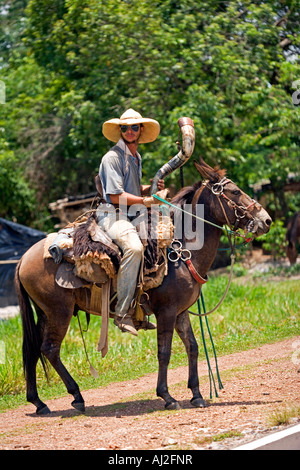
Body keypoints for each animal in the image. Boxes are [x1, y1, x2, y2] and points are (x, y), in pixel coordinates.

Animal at [14, 160, 272, 414]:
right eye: (235, 191)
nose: (267, 220)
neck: (179, 249)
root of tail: (23, 258)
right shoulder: (166, 312)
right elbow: (164, 352)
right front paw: (167, 396)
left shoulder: (180, 312)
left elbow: (193, 346)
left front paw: (197, 394)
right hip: (59, 312)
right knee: (50, 349)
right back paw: (76, 396)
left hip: (44, 313)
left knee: (34, 350)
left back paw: (39, 402)